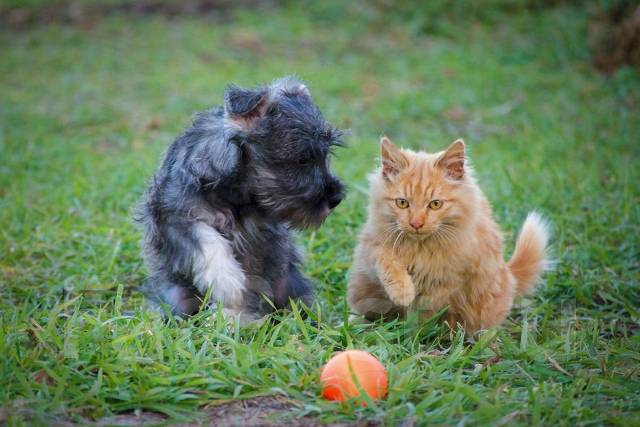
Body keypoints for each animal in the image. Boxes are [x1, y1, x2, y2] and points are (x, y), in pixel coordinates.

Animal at [136, 77, 344, 324]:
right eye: (303, 159)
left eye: (326, 154)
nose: (337, 198)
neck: (237, 195)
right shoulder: (172, 219)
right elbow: (206, 241)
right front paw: (228, 283)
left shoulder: (259, 241)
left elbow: (252, 281)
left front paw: (234, 316)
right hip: (177, 296)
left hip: (290, 284)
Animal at [344, 137, 552, 334]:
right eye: (402, 203)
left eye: (435, 204)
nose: (416, 224)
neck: (420, 249)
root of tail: (509, 274)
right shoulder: (371, 246)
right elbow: (386, 260)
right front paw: (402, 291)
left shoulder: (453, 277)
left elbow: (425, 308)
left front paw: (414, 330)